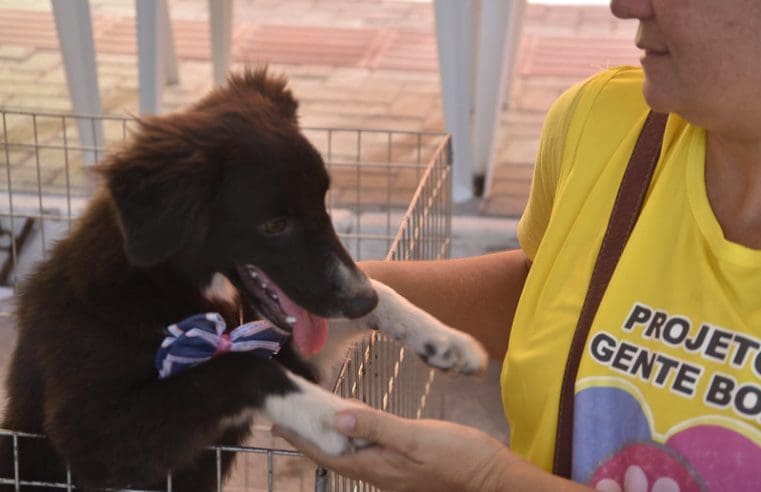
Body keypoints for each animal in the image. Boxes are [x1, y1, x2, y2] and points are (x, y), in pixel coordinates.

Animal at [0, 68, 486, 488]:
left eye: (324, 202)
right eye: (274, 225)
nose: (359, 300)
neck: (170, 289)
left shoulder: (292, 346)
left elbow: (385, 291)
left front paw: (445, 340)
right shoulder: (88, 436)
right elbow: (237, 366)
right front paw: (332, 419)